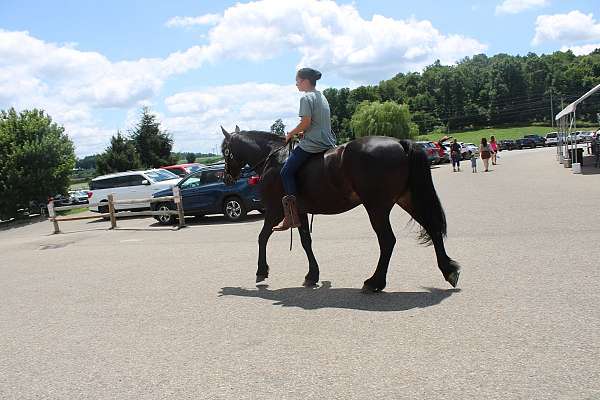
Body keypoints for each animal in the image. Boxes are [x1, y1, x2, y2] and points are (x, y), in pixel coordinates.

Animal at [220, 126, 460, 292]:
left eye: (225, 150)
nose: (226, 177)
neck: (273, 158)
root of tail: (400, 143)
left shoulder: (274, 211)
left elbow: (262, 237)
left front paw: (262, 271)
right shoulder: (300, 211)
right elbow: (306, 241)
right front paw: (312, 275)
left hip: (377, 207)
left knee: (387, 240)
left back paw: (375, 282)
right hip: (406, 199)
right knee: (432, 227)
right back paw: (449, 270)